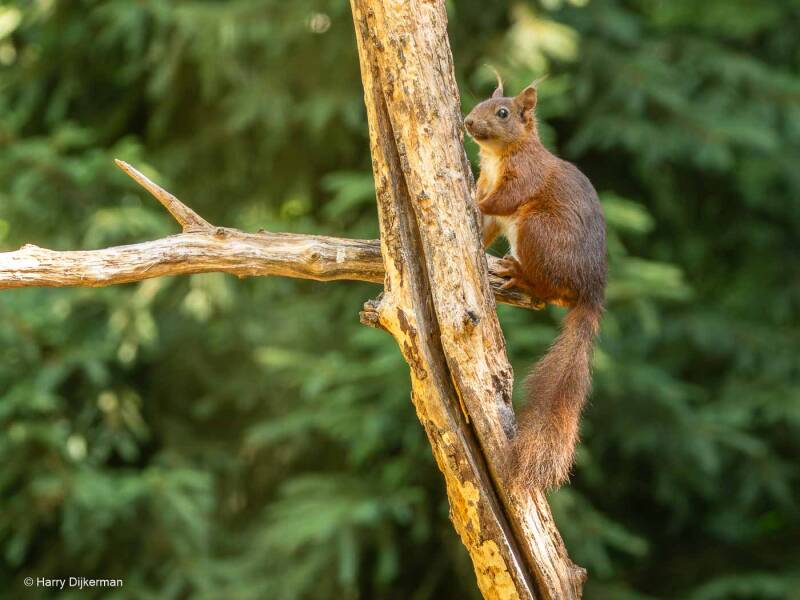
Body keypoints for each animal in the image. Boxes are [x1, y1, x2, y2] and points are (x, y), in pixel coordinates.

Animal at [464, 75, 607, 490]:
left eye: (502, 112)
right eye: (480, 103)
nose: (468, 122)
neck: (498, 156)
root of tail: (591, 293)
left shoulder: (524, 175)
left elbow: (502, 200)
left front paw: (471, 201)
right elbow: (486, 226)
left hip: (536, 229)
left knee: (545, 292)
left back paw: (518, 274)